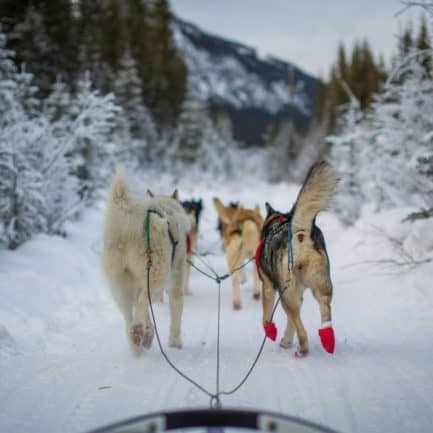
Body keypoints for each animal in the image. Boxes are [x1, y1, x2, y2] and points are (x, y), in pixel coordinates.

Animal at [102, 170, 190, 356]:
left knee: (128, 313)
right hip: (157, 275)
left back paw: (137, 341)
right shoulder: (175, 283)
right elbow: (176, 314)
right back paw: (139, 331)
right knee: (143, 299)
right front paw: (175, 342)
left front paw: (148, 331)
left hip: (120, 283)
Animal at [256, 160, 338, 356]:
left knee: (300, 325)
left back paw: (303, 349)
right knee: (324, 308)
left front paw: (271, 332)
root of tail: (299, 233)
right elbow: (290, 323)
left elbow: (266, 317)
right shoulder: (299, 294)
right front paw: (286, 340)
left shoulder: (268, 286)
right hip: (321, 285)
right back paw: (327, 339)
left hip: (286, 294)